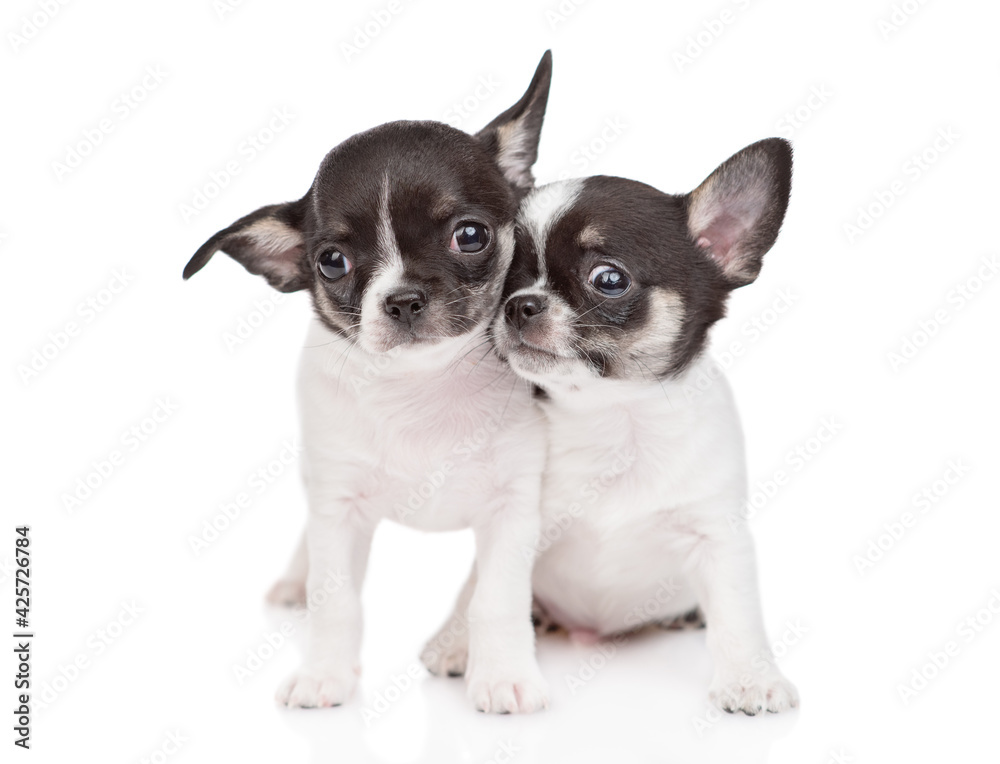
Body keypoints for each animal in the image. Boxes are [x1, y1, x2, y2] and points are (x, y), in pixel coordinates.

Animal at [186, 55, 556, 716]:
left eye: (470, 235)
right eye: (331, 261)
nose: (402, 299)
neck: (424, 390)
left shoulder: (515, 509)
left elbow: (496, 600)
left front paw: (504, 676)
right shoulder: (338, 507)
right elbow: (334, 601)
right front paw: (324, 674)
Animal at [426, 139, 800, 716]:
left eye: (608, 279)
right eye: (507, 279)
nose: (519, 304)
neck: (615, 420)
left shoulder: (717, 536)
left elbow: (737, 612)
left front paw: (750, 678)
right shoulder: (515, 523)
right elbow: (484, 589)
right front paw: (463, 645)